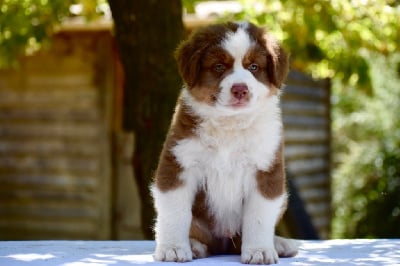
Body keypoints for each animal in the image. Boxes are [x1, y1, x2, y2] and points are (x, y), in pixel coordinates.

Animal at [152, 21, 298, 264]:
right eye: (219, 66)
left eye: (254, 67)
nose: (240, 89)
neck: (230, 124)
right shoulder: (179, 162)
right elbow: (175, 211)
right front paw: (173, 249)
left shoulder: (266, 169)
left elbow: (259, 216)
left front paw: (259, 251)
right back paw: (195, 246)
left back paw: (279, 244)